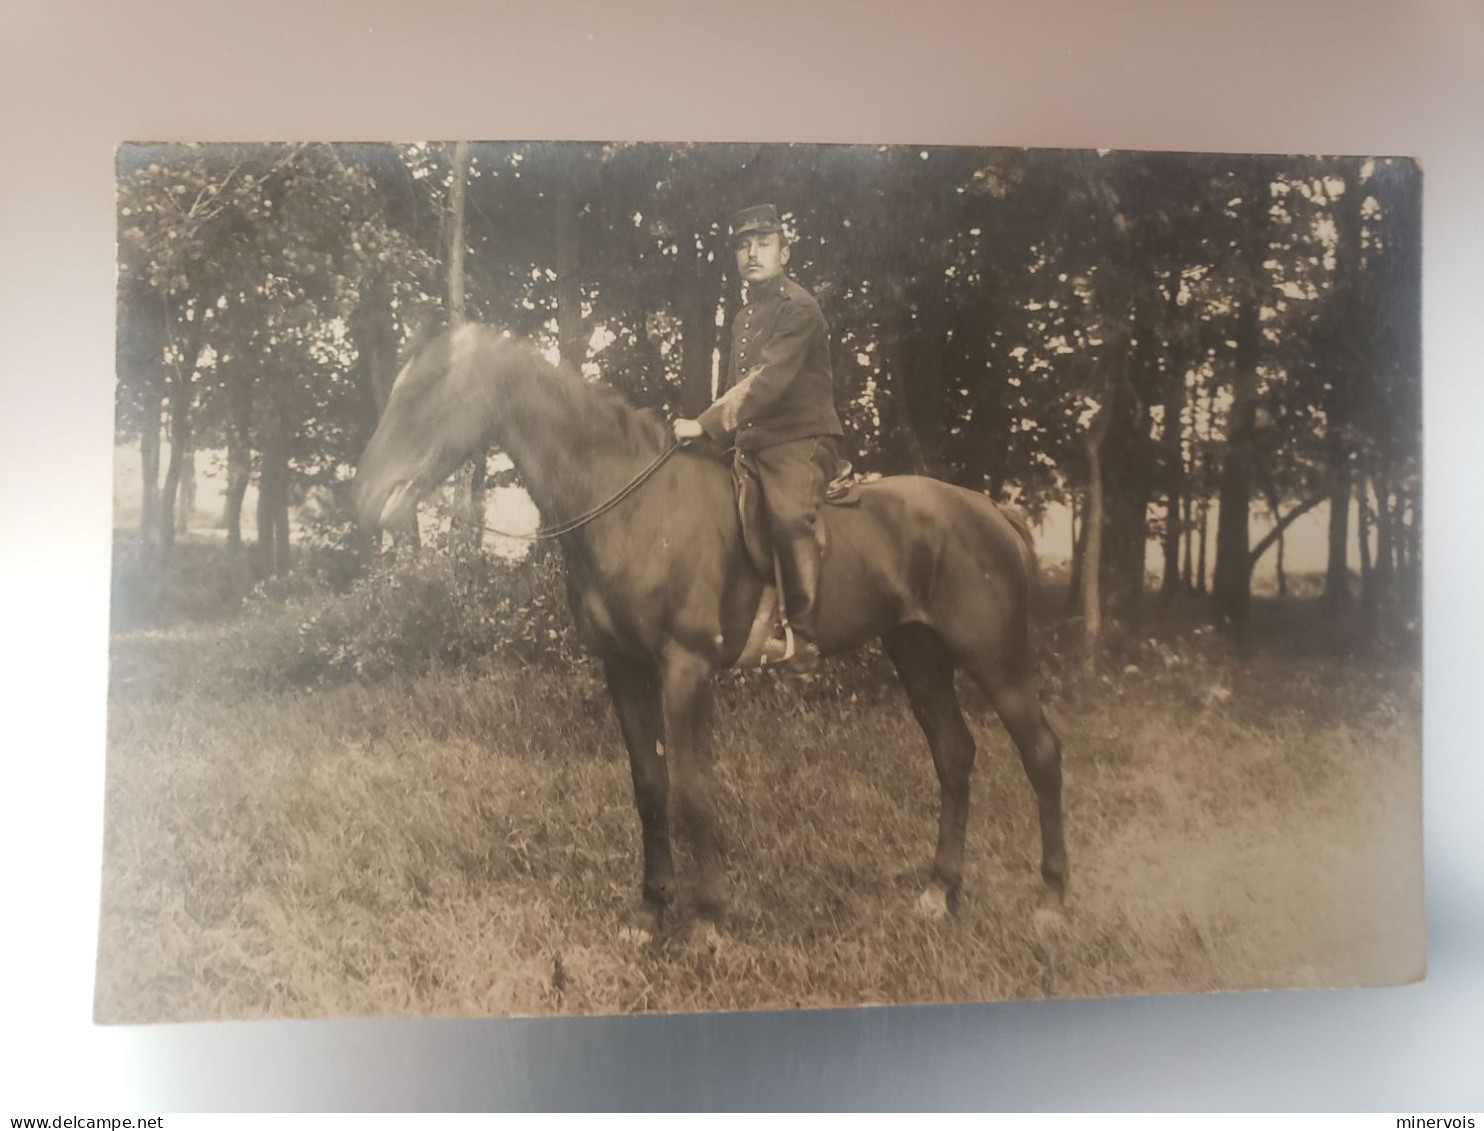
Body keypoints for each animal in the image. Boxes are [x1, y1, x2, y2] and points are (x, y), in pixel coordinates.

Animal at [350, 322, 1068, 932]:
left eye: (424, 390)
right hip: (918, 655)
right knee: (954, 755)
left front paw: (710, 917)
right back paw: (941, 891)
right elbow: (649, 785)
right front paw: (651, 908)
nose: (363, 496)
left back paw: (1051, 898)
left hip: (997, 662)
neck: (630, 504)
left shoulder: (686, 667)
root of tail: (990, 511)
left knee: (1040, 753)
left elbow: (694, 791)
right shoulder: (624, 668)